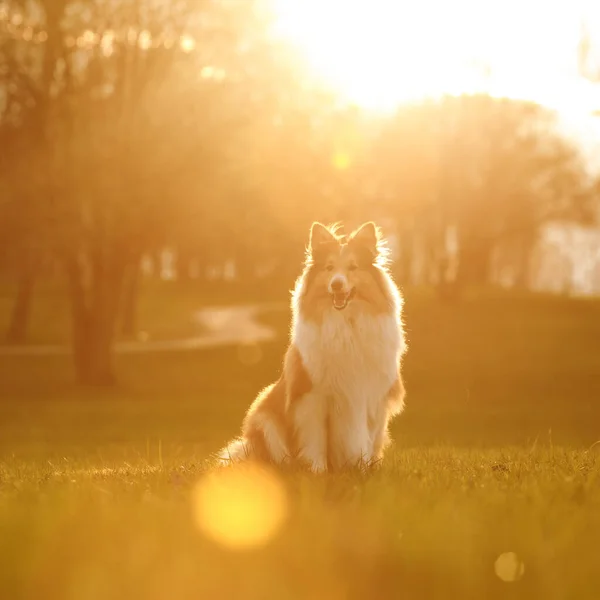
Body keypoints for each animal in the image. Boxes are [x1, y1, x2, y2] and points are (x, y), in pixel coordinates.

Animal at [217, 221, 408, 474]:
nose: (336, 284)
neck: (345, 325)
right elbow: (315, 438)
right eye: (329, 268)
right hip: (264, 413)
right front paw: (317, 471)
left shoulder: (372, 397)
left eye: (353, 267)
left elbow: (368, 440)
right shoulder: (313, 395)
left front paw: (365, 469)